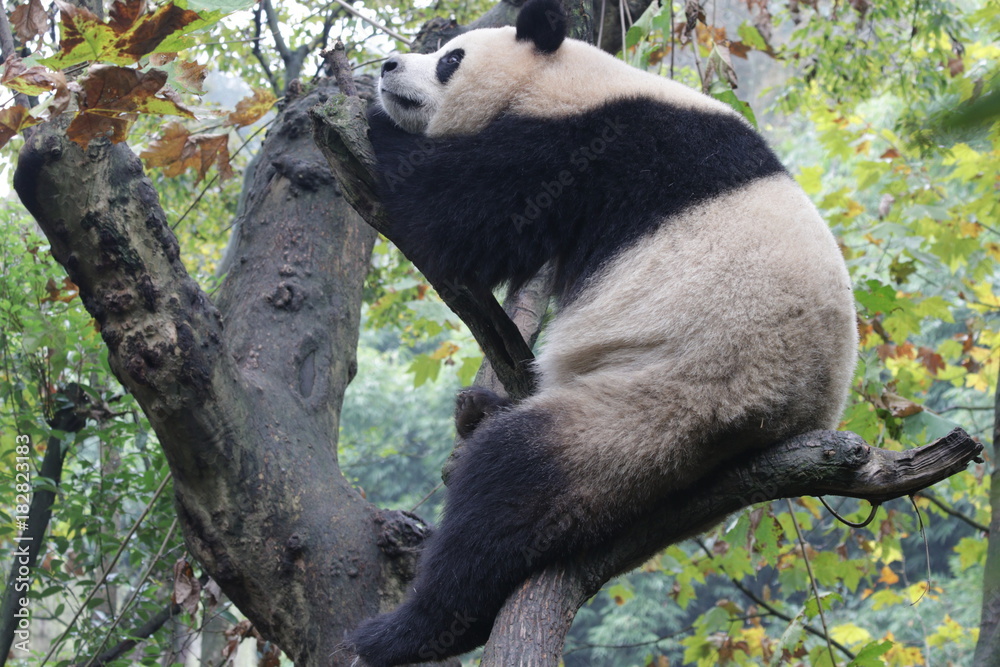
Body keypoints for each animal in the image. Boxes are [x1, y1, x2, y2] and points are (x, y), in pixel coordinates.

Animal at [347, 0, 858, 664]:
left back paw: (416, 627)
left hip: (672, 399)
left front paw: (361, 115)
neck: (566, 80)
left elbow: (454, 213)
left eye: (450, 59)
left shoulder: (585, 148)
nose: (387, 67)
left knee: (512, 483)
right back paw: (482, 408)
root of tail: (793, 422)